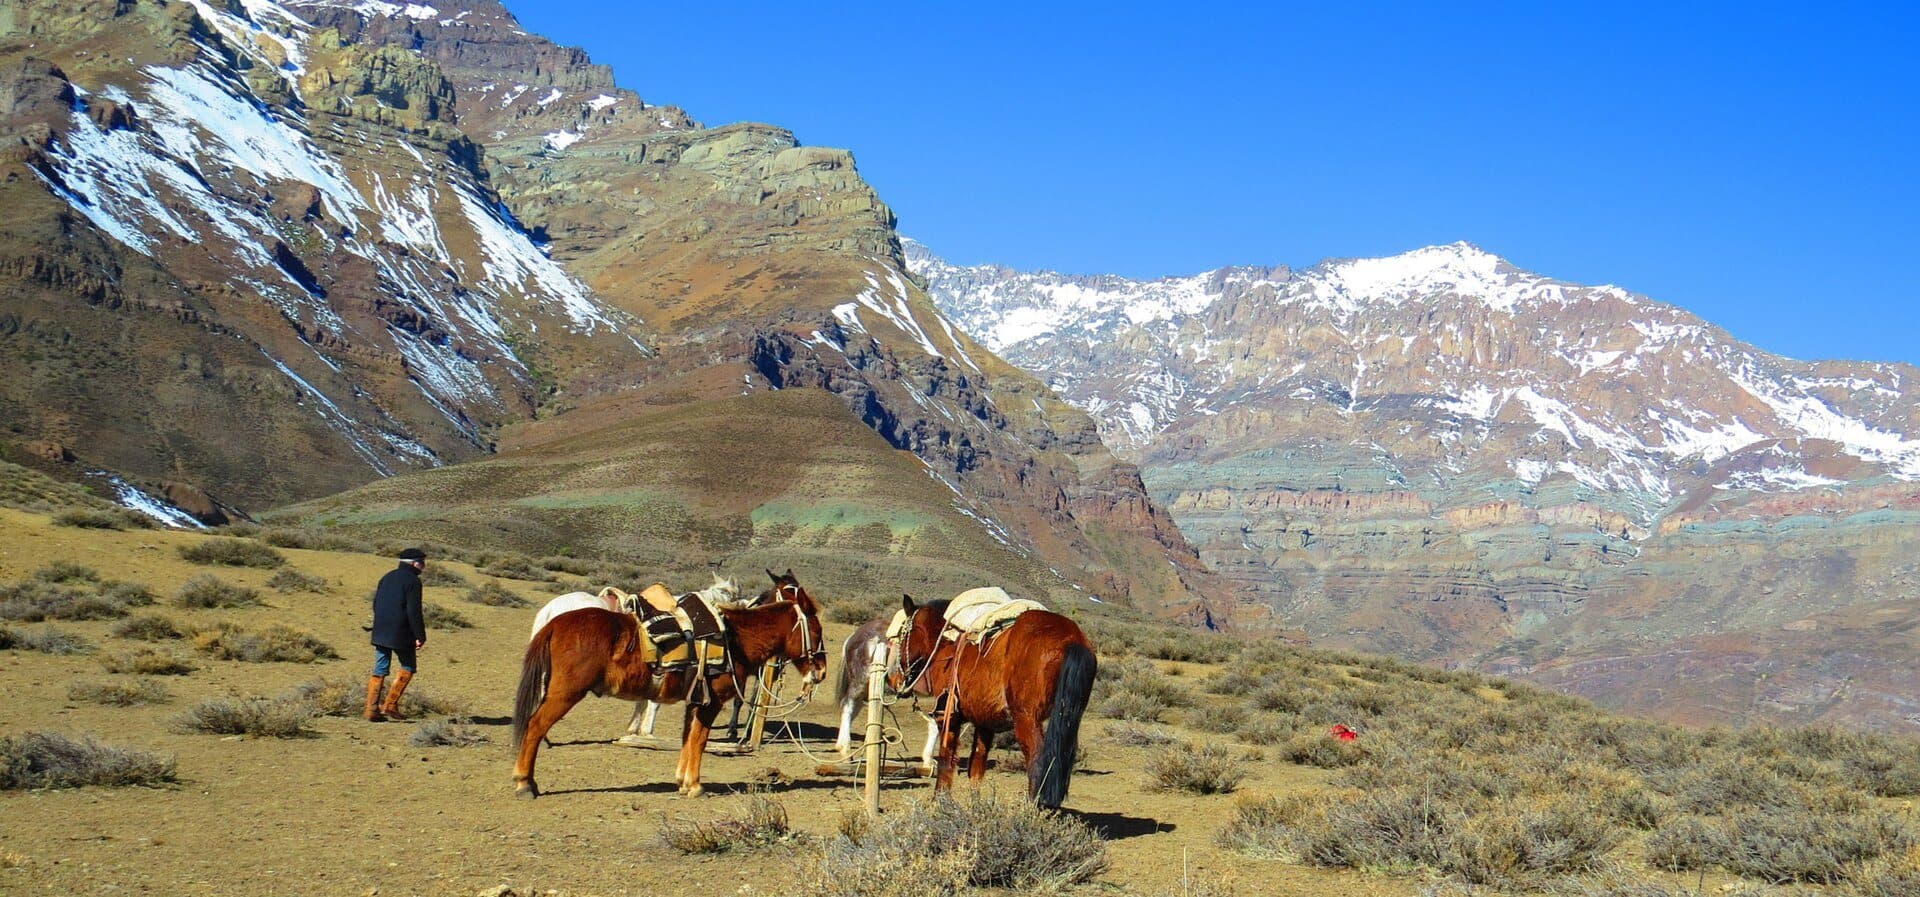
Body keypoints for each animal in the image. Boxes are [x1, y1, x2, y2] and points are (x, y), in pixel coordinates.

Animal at [510, 569, 828, 799]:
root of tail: (555, 622)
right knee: (535, 725)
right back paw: (525, 783)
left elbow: (688, 738)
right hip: (565, 693)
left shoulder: (696, 700)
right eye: (815, 630)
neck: (735, 638)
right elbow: (700, 740)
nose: (822, 670)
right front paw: (695, 786)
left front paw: (682, 781)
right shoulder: (711, 703)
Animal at [834, 613, 938, 767]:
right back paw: (846, 750)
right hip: (859, 682)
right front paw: (929, 761)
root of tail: (853, 636)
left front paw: (929, 760)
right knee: (847, 706)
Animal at [890, 593, 1096, 809]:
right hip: (1068, 718)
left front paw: (940, 801)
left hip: (1026, 719)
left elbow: (946, 759)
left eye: (902, 635)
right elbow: (976, 766)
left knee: (1038, 761)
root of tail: (1071, 638)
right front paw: (976, 806)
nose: (895, 680)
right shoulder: (984, 723)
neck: (946, 644)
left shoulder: (948, 716)